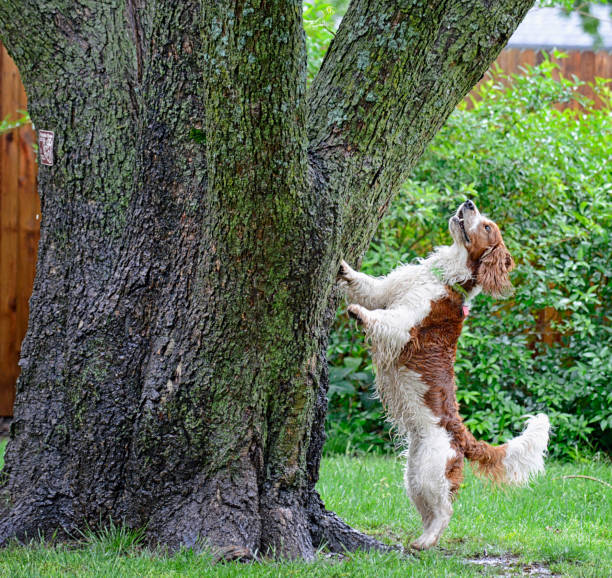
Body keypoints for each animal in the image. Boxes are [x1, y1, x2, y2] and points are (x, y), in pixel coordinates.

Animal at [340, 200, 548, 548]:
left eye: (487, 226)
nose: (468, 202)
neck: (442, 276)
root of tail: (461, 435)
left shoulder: (404, 324)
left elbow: (383, 318)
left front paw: (359, 313)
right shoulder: (385, 290)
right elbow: (367, 285)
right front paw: (343, 267)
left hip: (429, 471)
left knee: (446, 510)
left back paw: (426, 542)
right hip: (414, 472)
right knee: (430, 509)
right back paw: (420, 539)